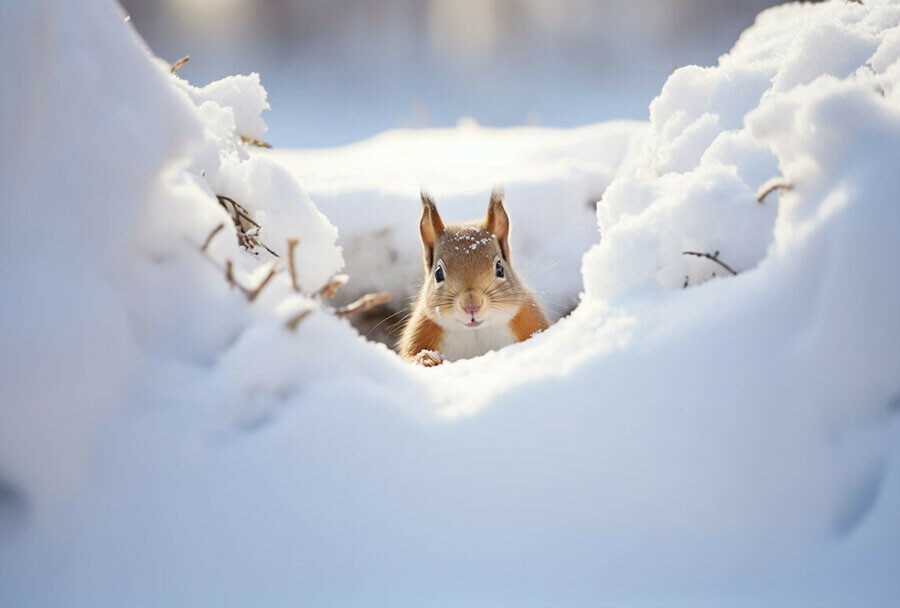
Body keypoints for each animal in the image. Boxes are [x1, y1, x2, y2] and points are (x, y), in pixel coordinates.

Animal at [400, 190, 548, 366]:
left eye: (500, 268)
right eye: (438, 273)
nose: (471, 306)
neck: (475, 332)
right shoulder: (420, 332)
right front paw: (426, 359)